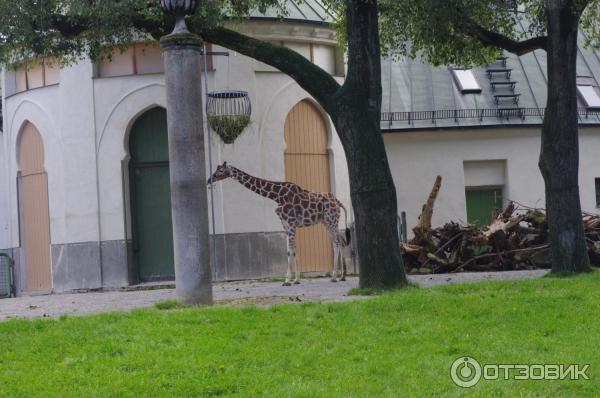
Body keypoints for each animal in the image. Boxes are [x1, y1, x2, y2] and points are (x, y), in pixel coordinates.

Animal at [209, 162, 350, 286]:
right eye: (216, 169)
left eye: (220, 170)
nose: (209, 179)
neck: (277, 196)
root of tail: (338, 201)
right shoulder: (286, 225)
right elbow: (292, 250)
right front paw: (296, 280)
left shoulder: (291, 223)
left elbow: (290, 250)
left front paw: (287, 281)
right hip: (327, 222)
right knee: (341, 241)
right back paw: (341, 276)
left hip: (332, 221)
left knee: (337, 243)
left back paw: (334, 277)